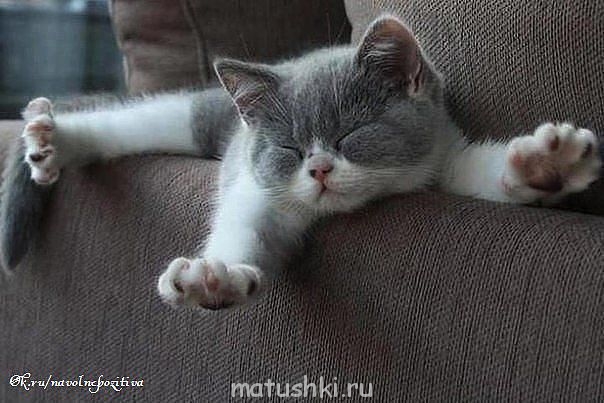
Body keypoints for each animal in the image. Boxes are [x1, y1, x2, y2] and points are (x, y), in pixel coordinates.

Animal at [0, 16, 600, 310]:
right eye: (289, 148)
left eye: (351, 134)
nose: (319, 169)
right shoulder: (256, 184)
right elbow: (243, 222)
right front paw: (214, 276)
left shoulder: (441, 157)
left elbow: (481, 173)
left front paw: (545, 166)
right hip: (202, 116)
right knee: (141, 120)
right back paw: (55, 140)